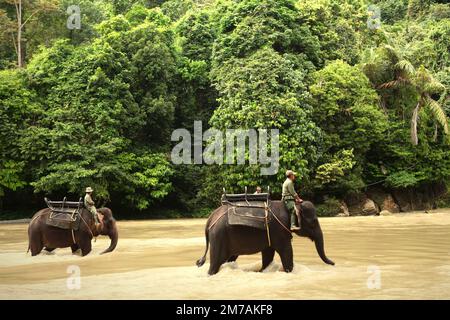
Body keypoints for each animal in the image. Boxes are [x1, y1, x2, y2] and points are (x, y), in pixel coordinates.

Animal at [197, 201, 334, 274]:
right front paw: (289, 272)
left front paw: (263, 271)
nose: (334, 263)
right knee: (216, 262)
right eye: (314, 221)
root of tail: (210, 219)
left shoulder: (271, 233)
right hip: (219, 237)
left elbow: (268, 254)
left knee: (229, 259)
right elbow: (286, 251)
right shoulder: (279, 230)